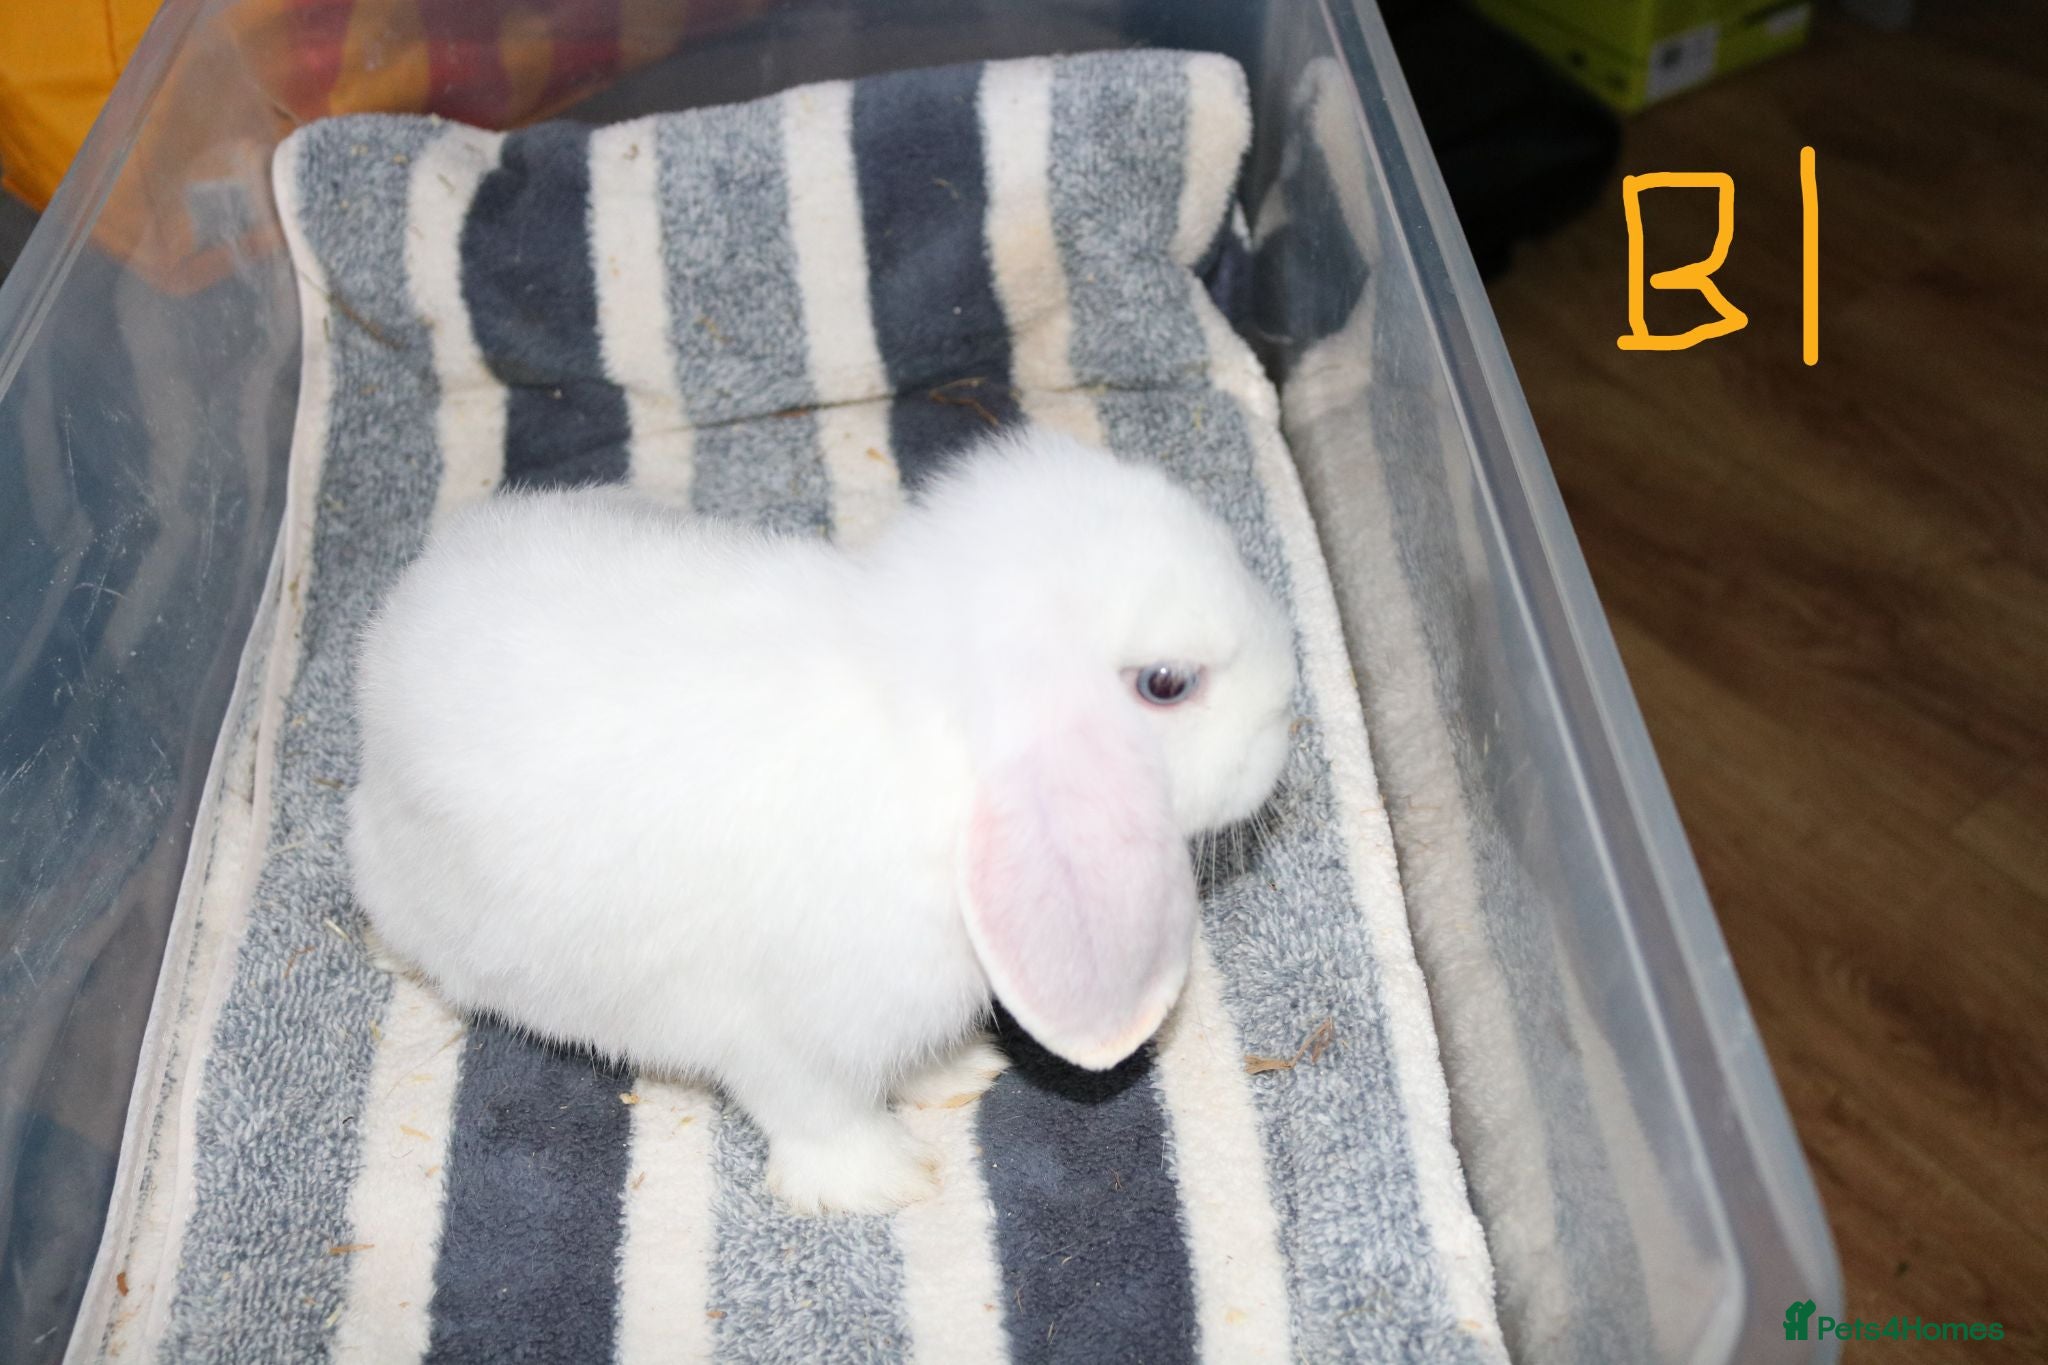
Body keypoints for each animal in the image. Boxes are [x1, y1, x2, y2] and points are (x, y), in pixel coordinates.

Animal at [346, 425, 1298, 1214]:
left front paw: (963, 1071)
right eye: (1167, 684)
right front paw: (885, 1183)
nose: (1286, 719)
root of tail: (393, 629)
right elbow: (820, 1116)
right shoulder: (786, 1041)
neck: (932, 737)